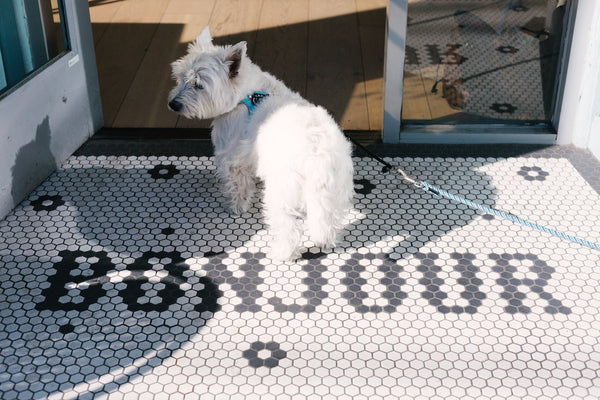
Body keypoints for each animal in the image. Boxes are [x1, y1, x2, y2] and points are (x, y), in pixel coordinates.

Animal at [169, 27, 354, 260]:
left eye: (199, 85)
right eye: (180, 77)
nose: (173, 104)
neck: (246, 94)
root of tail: (317, 155)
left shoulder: (231, 156)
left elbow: (238, 185)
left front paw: (237, 207)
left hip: (282, 191)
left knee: (289, 228)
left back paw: (281, 254)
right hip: (335, 193)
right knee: (327, 223)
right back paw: (327, 244)